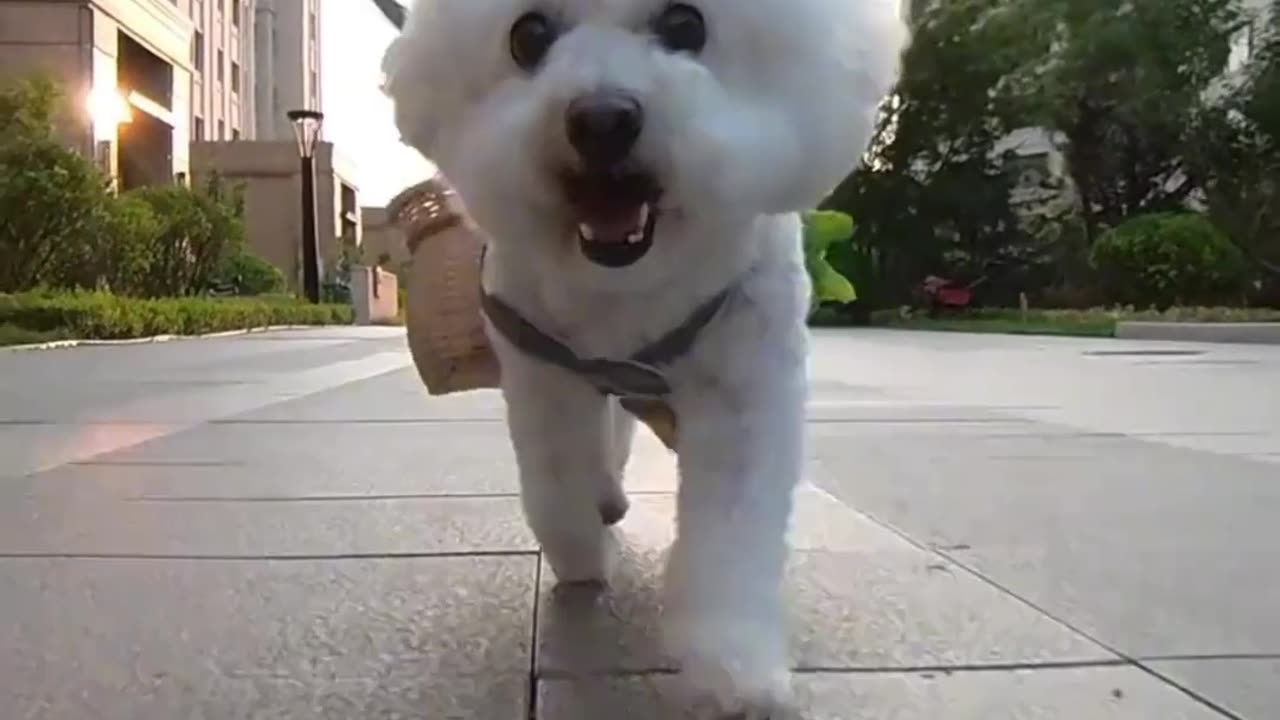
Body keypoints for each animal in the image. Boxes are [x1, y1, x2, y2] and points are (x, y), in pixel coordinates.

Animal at [384, 2, 906, 712]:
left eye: (686, 25)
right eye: (528, 36)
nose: (601, 119)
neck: (628, 288)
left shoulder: (744, 390)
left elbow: (732, 533)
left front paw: (733, 671)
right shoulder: (544, 374)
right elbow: (555, 486)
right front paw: (582, 559)